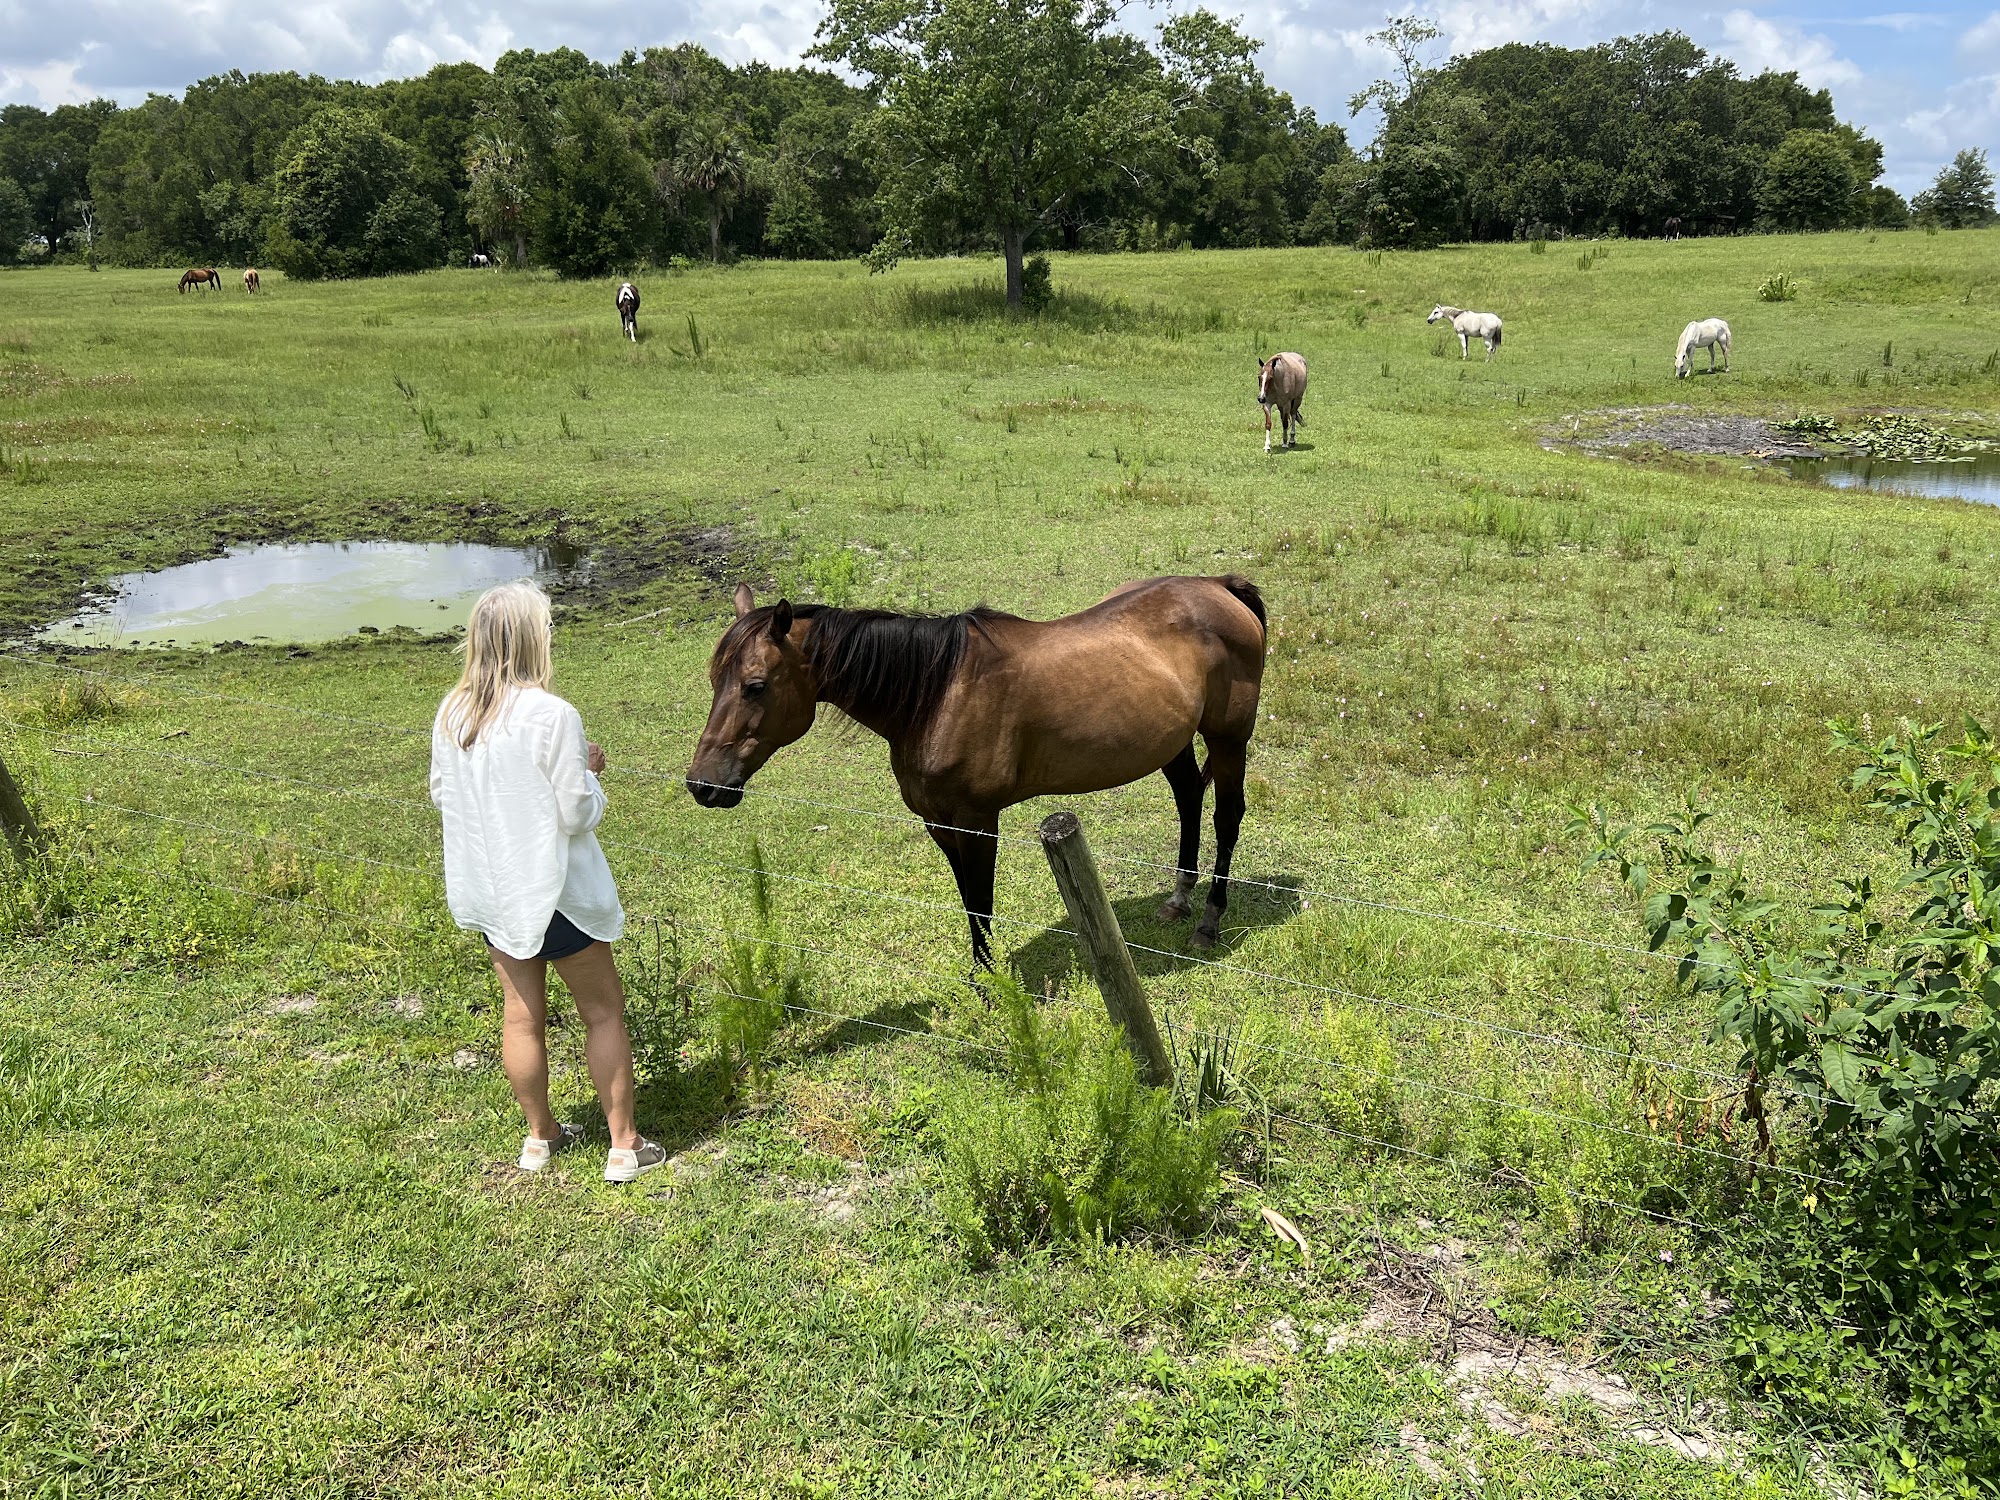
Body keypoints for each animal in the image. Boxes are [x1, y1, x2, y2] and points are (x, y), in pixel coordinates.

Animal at [687, 575, 1268, 969]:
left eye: (755, 685)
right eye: (715, 679)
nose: (703, 784)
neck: (937, 695)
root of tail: (1219, 587)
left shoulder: (978, 822)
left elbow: (982, 902)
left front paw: (994, 987)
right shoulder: (940, 824)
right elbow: (969, 902)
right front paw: (982, 977)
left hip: (1229, 738)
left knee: (1226, 816)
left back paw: (1209, 920)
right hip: (1171, 742)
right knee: (1189, 798)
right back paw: (1177, 898)